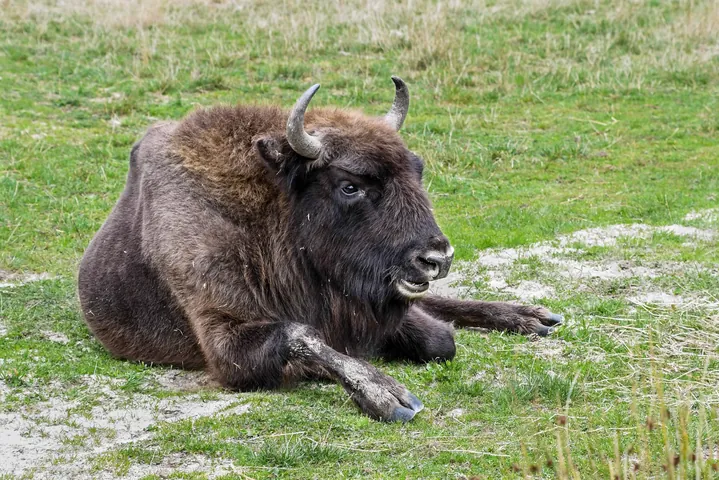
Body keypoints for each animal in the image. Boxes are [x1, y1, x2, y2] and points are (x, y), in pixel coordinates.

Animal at [78, 77, 562, 422]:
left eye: (418, 169)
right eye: (350, 185)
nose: (436, 259)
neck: (269, 212)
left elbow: (439, 339)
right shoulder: (224, 336)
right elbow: (304, 337)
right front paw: (387, 395)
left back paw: (533, 317)